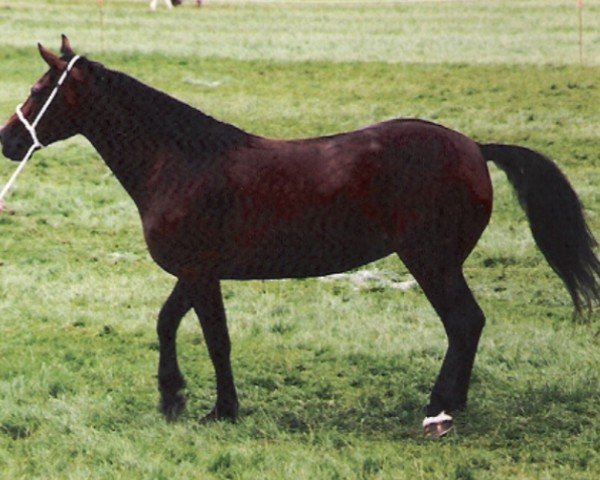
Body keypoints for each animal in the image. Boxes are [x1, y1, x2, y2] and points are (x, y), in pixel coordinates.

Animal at [0, 35, 596, 436]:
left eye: (37, 90)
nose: (8, 140)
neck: (181, 162)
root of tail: (474, 147)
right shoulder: (197, 272)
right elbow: (174, 325)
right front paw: (179, 400)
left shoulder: (199, 272)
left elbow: (210, 338)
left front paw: (214, 408)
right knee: (468, 326)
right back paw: (456, 404)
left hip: (432, 261)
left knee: (464, 323)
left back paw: (439, 409)